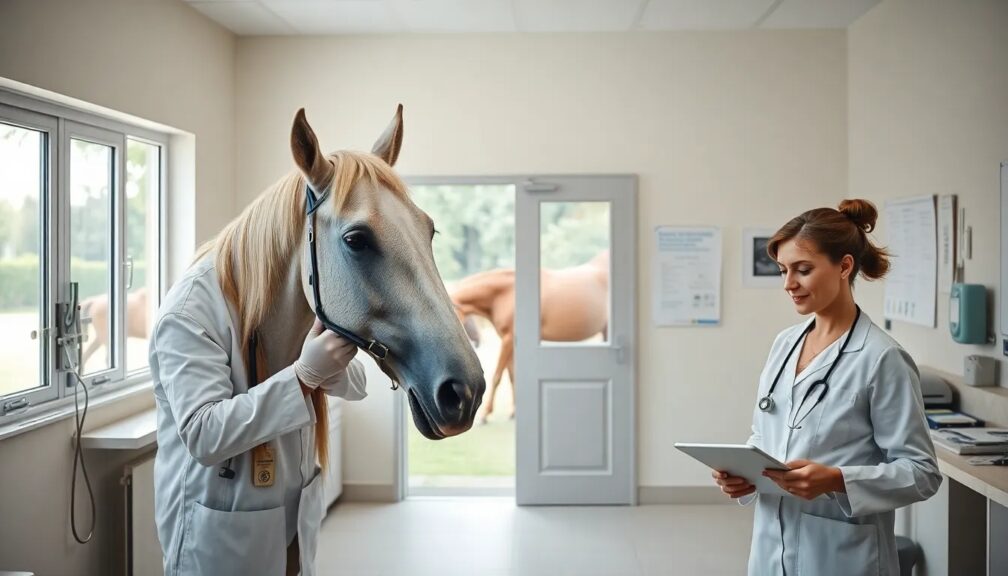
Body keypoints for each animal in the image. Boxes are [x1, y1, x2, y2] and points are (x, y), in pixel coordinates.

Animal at [450, 250, 609, 423]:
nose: (478, 340)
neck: (506, 293)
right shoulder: (510, 341)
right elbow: (512, 376)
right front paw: (513, 412)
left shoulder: (508, 339)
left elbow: (497, 376)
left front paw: (485, 415)